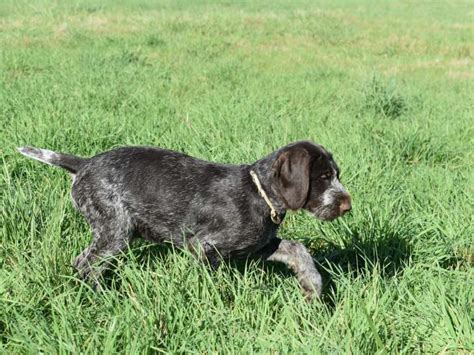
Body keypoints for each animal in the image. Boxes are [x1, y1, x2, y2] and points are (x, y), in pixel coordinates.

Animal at [18, 140, 350, 298]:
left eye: (336, 175)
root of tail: (84, 164)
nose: (347, 204)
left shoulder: (256, 246)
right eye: (322, 177)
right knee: (86, 265)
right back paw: (102, 298)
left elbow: (297, 249)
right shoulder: (203, 246)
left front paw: (312, 286)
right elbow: (211, 281)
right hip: (115, 231)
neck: (260, 193)